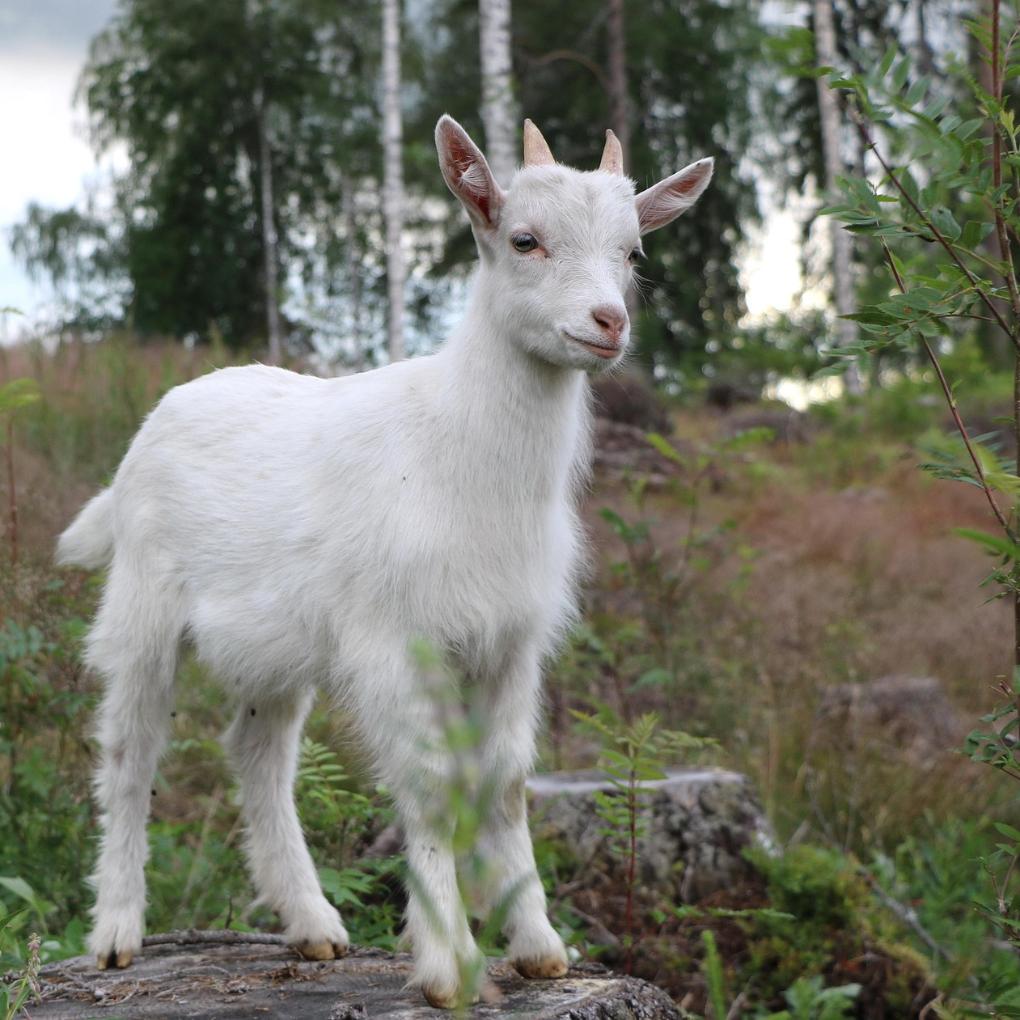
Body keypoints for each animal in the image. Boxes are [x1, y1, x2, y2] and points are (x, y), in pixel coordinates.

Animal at [57, 115, 713, 1007]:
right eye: (524, 239)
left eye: (633, 251)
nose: (608, 322)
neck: (460, 453)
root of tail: (155, 424)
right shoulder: (396, 642)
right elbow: (430, 786)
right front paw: (447, 963)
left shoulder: (511, 643)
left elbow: (507, 782)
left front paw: (539, 945)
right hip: (142, 607)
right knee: (130, 753)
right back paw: (117, 932)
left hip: (275, 650)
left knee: (258, 755)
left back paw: (312, 924)